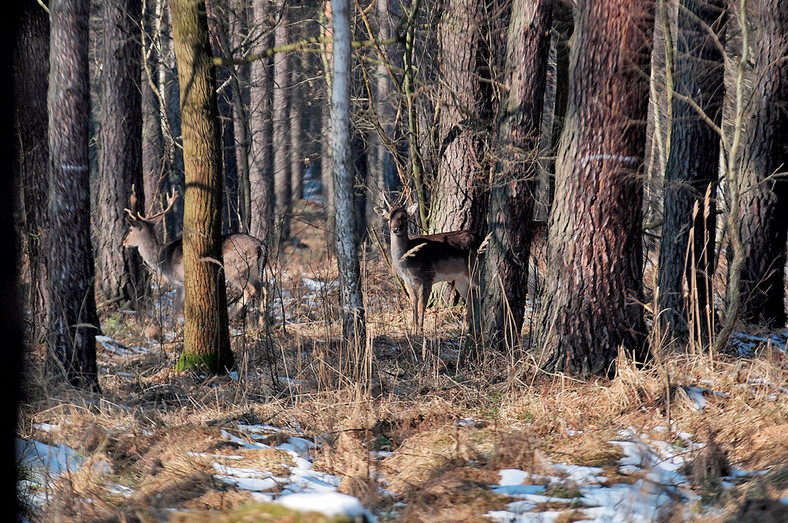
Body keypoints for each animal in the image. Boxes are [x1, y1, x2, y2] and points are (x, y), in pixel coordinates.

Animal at [121, 188, 266, 320]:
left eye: (130, 229)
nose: (124, 242)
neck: (163, 258)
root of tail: (260, 245)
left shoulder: (180, 281)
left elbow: (176, 310)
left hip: (236, 269)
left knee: (250, 290)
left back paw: (230, 316)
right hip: (253, 271)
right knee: (263, 289)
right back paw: (261, 322)